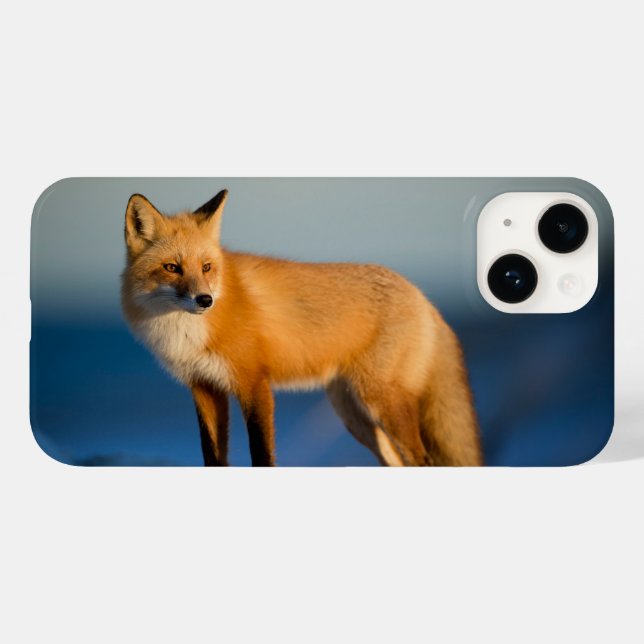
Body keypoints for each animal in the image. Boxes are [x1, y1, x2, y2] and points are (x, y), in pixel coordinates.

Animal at [121, 189, 483, 467]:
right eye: (172, 268)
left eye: (207, 267)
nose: (205, 300)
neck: (185, 331)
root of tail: (421, 295)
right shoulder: (204, 388)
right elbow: (213, 457)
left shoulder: (254, 383)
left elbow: (262, 455)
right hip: (355, 416)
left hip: (382, 402)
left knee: (422, 460)